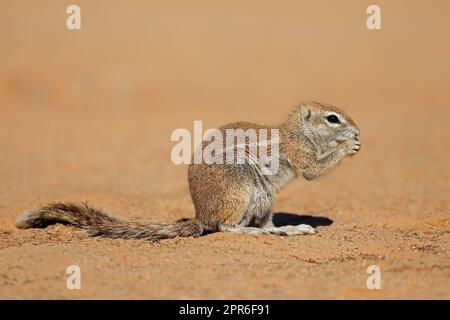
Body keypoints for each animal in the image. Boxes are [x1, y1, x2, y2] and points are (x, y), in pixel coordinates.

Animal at [15, 102, 360, 240]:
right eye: (333, 118)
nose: (358, 131)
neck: (297, 131)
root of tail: (201, 215)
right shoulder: (298, 152)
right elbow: (314, 170)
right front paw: (347, 147)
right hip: (240, 188)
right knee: (226, 228)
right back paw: (262, 232)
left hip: (263, 200)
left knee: (259, 223)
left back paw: (288, 228)